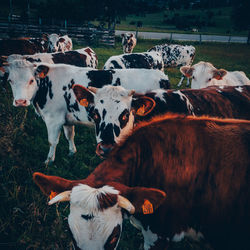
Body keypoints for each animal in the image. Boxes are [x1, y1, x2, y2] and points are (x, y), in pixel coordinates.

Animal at [0, 61, 170, 164]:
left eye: (31, 80)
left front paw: (48, 161)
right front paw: (72, 152)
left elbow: (52, 141)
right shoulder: (67, 118)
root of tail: (162, 76)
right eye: (10, 81)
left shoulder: (53, 119)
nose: (20, 101)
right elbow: (70, 135)